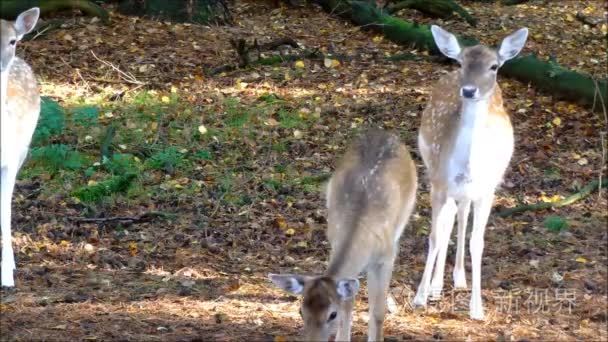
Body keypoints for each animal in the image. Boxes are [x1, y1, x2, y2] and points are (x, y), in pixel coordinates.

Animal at [268, 129, 416, 342]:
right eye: (300, 311)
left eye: (332, 314)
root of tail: (381, 131)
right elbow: (348, 305)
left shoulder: (386, 257)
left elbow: (378, 312)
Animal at [414, 24, 528, 320]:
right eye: (462, 62)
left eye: (494, 66)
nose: (468, 90)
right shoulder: (439, 183)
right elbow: (434, 235)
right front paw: (419, 296)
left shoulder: (487, 191)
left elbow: (478, 242)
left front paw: (477, 308)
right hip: (436, 175)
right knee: (449, 219)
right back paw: (436, 286)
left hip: (470, 191)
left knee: (461, 215)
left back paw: (458, 279)